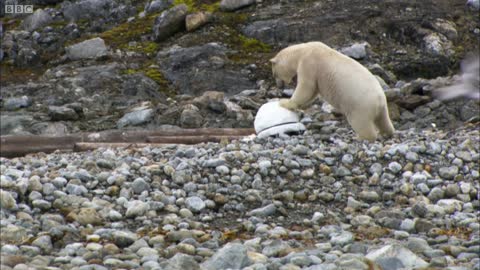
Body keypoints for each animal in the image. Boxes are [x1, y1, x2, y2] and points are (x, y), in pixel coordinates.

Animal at [268, 41, 396, 141]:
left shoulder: (309, 64)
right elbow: (312, 92)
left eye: (274, 73)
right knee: (384, 121)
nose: (278, 86)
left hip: (360, 106)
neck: (302, 51)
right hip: (381, 107)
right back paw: (386, 133)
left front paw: (285, 102)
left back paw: (359, 137)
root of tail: (379, 99)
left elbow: (306, 87)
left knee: (361, 123)